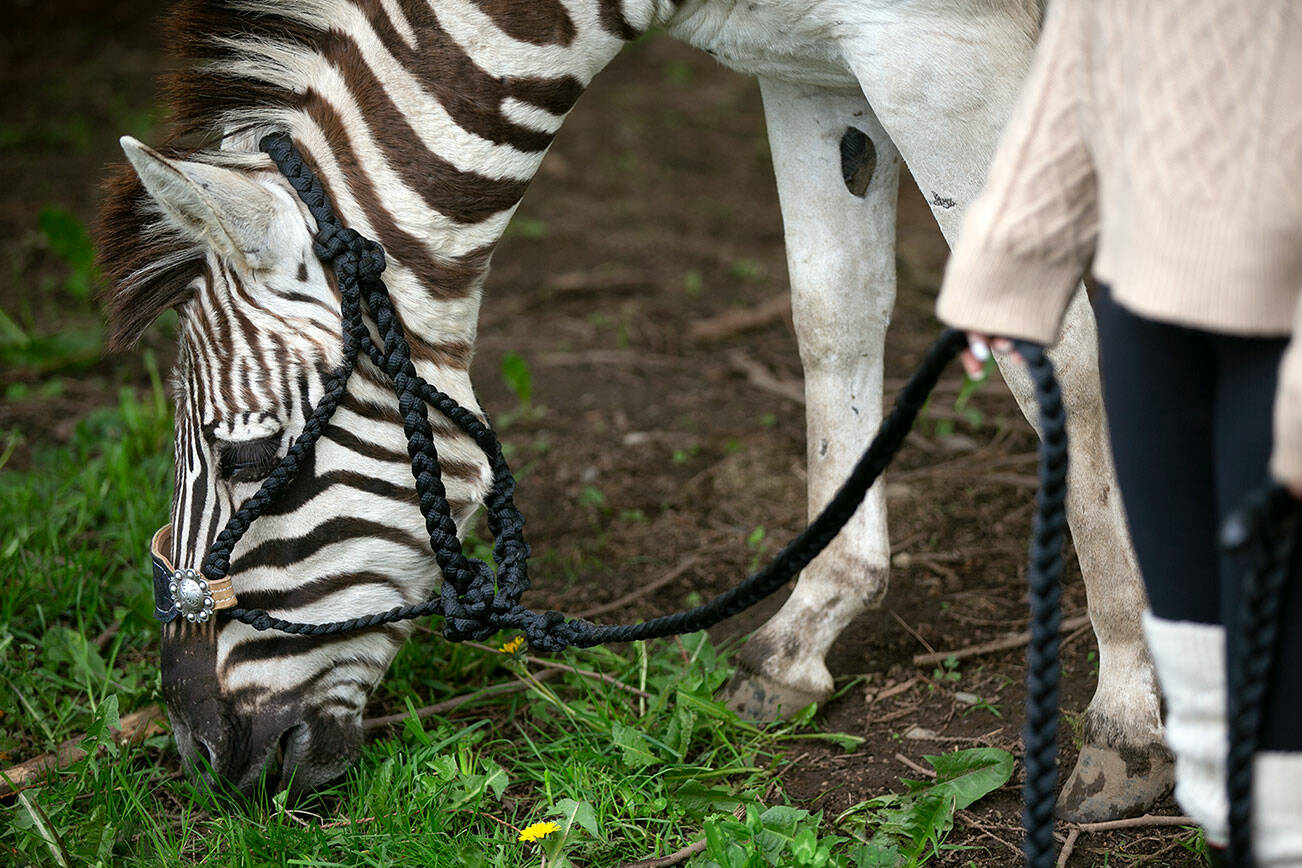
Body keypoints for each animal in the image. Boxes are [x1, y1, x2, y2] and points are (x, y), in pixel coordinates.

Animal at [98, 0, 1171, 817]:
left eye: (247, 458)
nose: (199, 756)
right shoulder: (815, 69)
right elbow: (833, 314)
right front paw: (803, 636)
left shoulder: (943, 47)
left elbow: (1063, 358)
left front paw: (1131, 716)